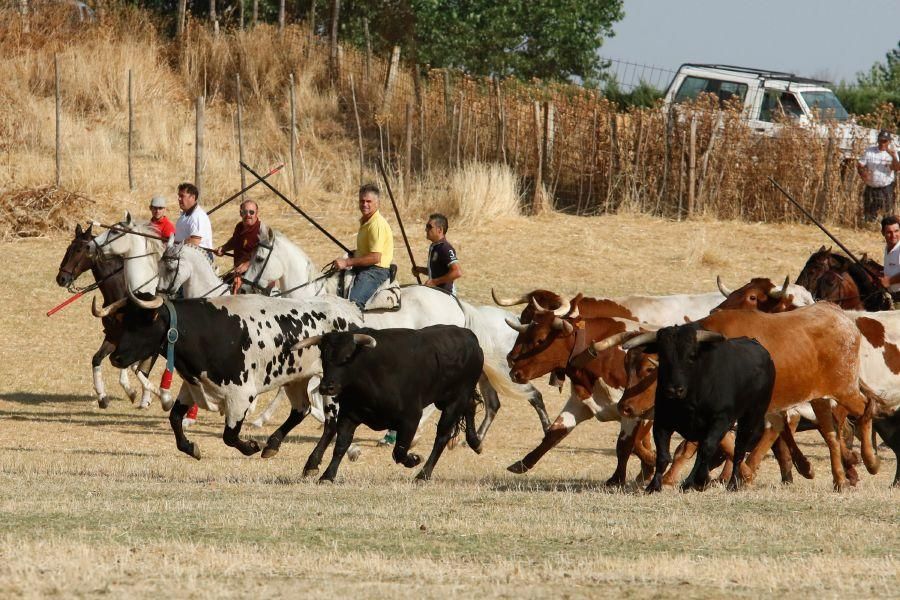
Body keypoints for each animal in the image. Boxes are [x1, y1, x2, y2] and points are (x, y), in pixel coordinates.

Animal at [105, 292, 358, 458]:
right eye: (121, 321)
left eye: (141, 323)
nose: (115, 357)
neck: (202, 331)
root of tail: (351, 310)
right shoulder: (192, 386)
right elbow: (175, 419)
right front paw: (191, 448)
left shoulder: (240, 396)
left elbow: (229, 436)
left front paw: (250, 447)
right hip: (296, 378)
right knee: (300, 410)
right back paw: (272, 445)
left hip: (330, 385)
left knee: (331, 424)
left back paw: (312, 462)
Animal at [298, 324, 486, 482]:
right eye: (323, 358)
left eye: (347, 356)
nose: (326, 387)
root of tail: (469, 336)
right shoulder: (348, 415)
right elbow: (341, 445)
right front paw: (327, 476)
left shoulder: (411, 418)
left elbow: (399, 451)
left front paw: (414, 459)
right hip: (448, 398)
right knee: (470, 405)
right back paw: (476, 443)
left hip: (454, 400)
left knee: (442, 436)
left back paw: (423, 475)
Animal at [624, 324, 776, 492]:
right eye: (662, 357)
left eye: (691, 356)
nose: (674, 390)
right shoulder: (662, 422)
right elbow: (663, 455)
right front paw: (654, 486)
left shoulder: (720, 420)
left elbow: (707, 449)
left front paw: (700, 480)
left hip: (751, 416)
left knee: (738, 451)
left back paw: (732, 483)